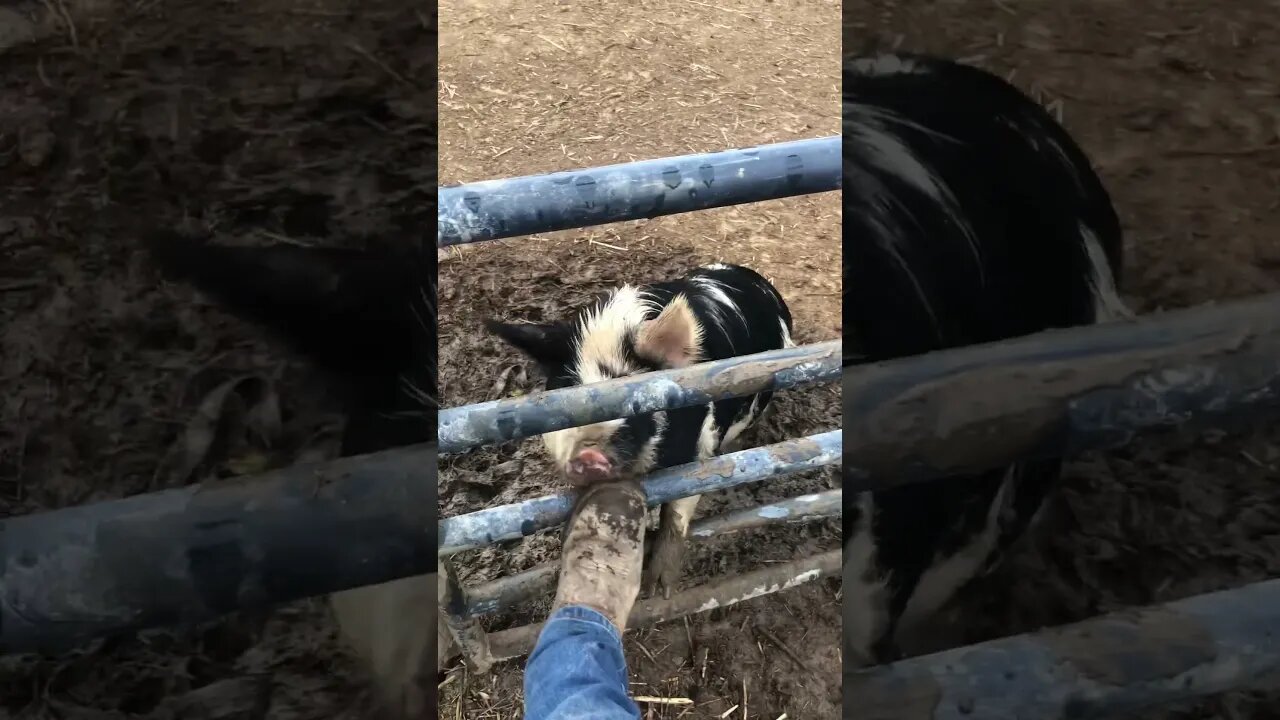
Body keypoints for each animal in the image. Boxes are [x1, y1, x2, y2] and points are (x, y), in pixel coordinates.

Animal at [486, 262, 793, 594]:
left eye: (635, 405)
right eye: (563, 408)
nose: (588, 456)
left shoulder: (702, 447)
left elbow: (679, 509)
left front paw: (659, 589)